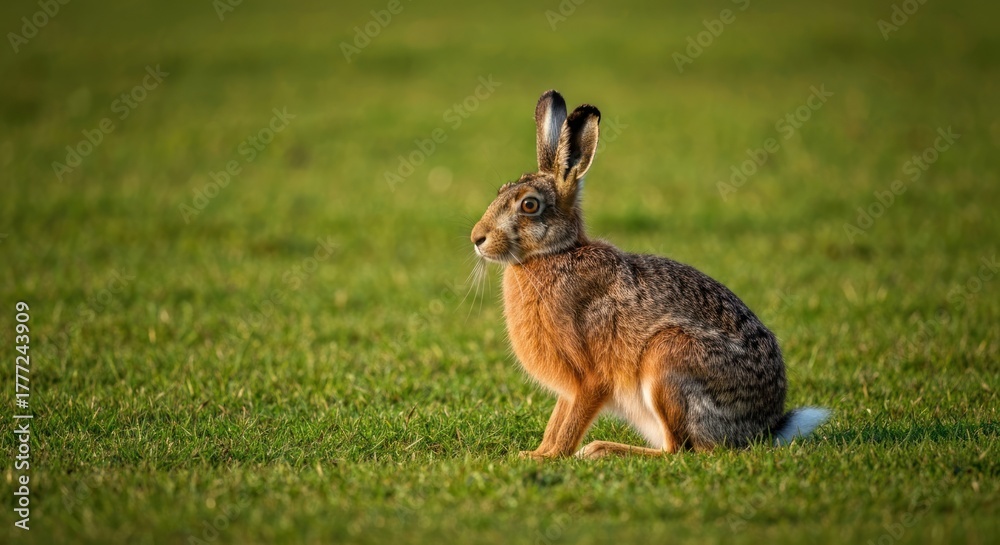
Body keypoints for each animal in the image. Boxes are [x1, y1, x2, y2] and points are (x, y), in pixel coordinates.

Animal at [470, 90, 830, 459]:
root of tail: (761, 428)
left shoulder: (591, 378)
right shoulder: (569, 389)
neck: (556, 253)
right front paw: (537, 453)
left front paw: (551, 457)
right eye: (501, 191)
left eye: (529, 205)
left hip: (668, 361)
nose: (476, 238)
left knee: (678, 450)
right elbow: (558, 420)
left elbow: (573, 422)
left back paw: (601, 449)